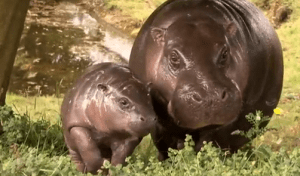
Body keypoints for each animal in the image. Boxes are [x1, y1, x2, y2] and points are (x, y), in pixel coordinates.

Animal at [129, 0, 284, 160]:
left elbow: (212, 144)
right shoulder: (159, 122)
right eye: (173, 57)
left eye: (225, 53)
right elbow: (166, 146)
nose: (211, 97)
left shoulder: (231, 124)